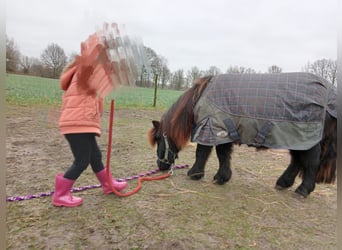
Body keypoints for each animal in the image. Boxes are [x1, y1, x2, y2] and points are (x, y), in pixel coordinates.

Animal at [149, 72, 336, 197]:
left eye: (158, 139)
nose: (160, 166)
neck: (201, 97)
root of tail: (331, 94)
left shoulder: (209, 127)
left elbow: (202, 153)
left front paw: (195, 174)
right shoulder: (222, 132)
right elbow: (223, 155)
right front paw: (222, 177)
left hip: (307, 138)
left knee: (310, 162)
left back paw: (303, 190)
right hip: (297, 139)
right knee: (297, 161)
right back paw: (283, 183)